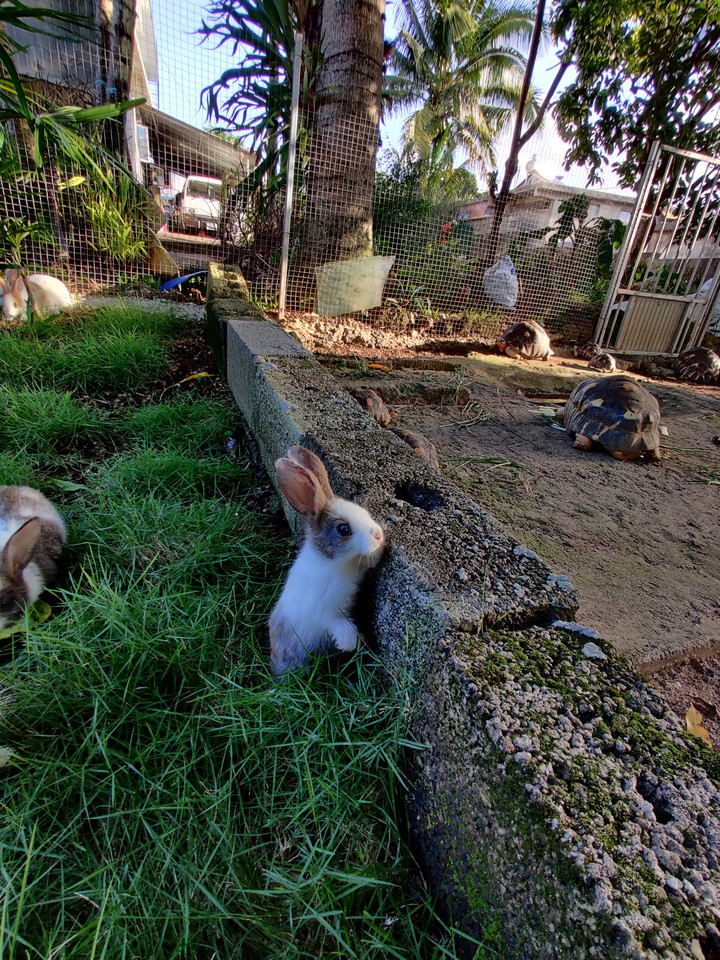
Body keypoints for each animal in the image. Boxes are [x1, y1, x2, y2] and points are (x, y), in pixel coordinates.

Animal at [268, 445, 385, 675]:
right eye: (343, 529)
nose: (377, 535)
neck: (335, 563)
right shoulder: (324, 612)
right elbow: (339, 625)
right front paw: (350, 643)